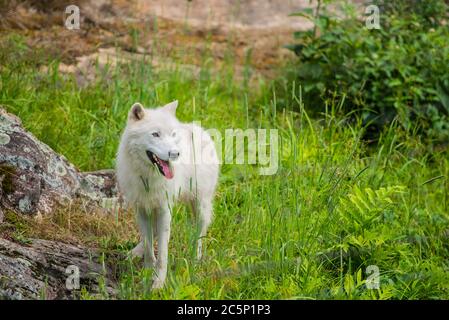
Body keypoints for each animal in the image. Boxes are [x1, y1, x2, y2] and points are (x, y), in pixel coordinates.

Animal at [115, 101, 219, 288]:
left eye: (172, 135)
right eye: (155, 134)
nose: (175, 154)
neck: (148, 177)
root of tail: (201, 130)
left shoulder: (164, 209)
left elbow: (163, 252)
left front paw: (158, 282)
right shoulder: (142, 209)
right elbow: (149, 245)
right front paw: (147, 272)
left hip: (200, 206)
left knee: (200, 234)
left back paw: (196, 260)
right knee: (152, 233)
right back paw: (134, 253)